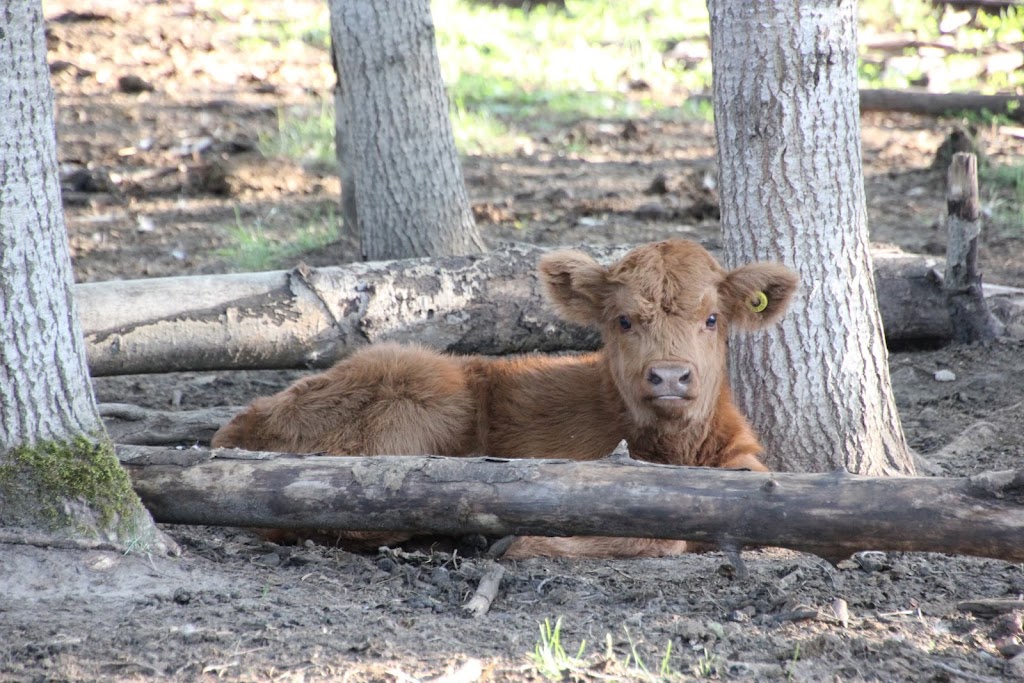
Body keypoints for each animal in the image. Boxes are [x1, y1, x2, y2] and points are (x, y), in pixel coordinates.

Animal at [209, 242, 798, 557]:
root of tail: (240, 425)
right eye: (625, 320)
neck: (673, 449)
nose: (671, 376)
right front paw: (525, 542)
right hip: (421, 389)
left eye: (712, 318)